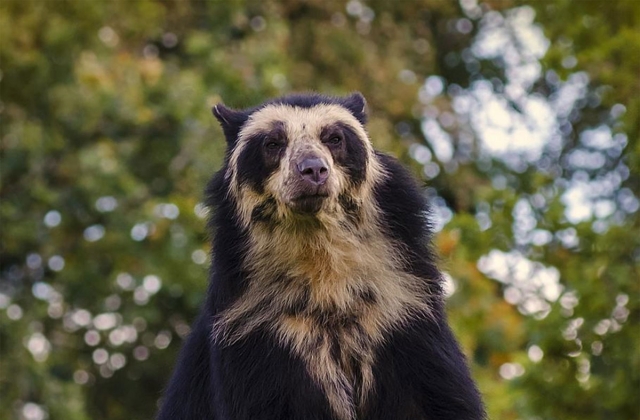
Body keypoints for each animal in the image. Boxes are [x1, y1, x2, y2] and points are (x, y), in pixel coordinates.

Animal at [159, 92, 484, 420]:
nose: (313, 170)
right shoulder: (255, 331)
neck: (321, 257)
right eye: (273, 143)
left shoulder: (403, 313)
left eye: (334, 138)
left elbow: (437, 396)